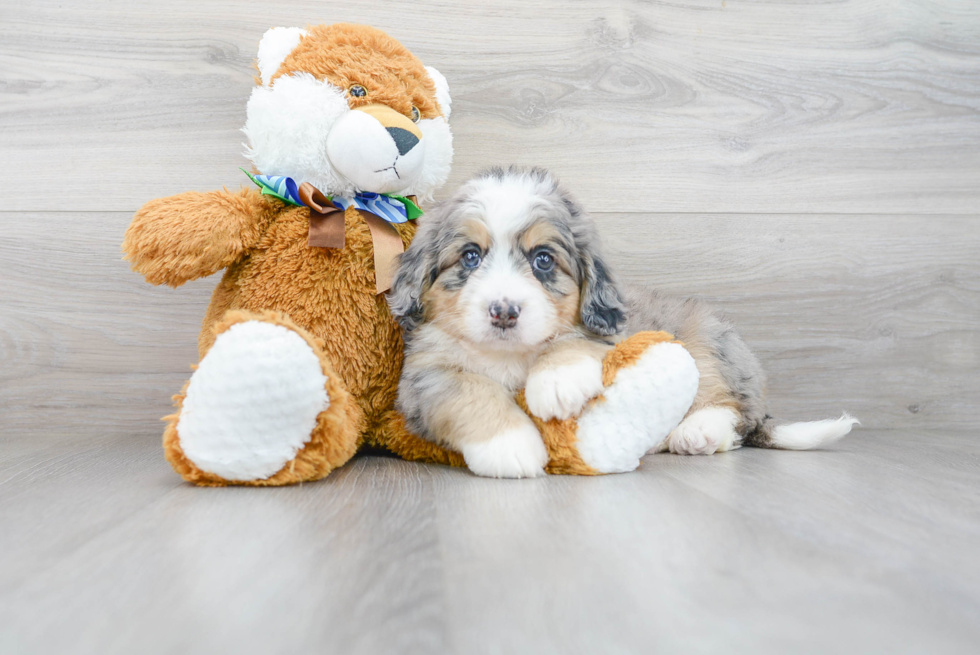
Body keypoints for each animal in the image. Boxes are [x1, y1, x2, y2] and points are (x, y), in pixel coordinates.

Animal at [386, 167, 852, 480]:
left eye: (543, 260)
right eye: (470, 256)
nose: (503, 311)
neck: (511, 355)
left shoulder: (612, 333)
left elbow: (572, 341)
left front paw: (556, 382)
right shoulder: (424, 377)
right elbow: (470, 391)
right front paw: (511, 446)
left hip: (707, 341)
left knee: (731, 410)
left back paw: (696, 432)